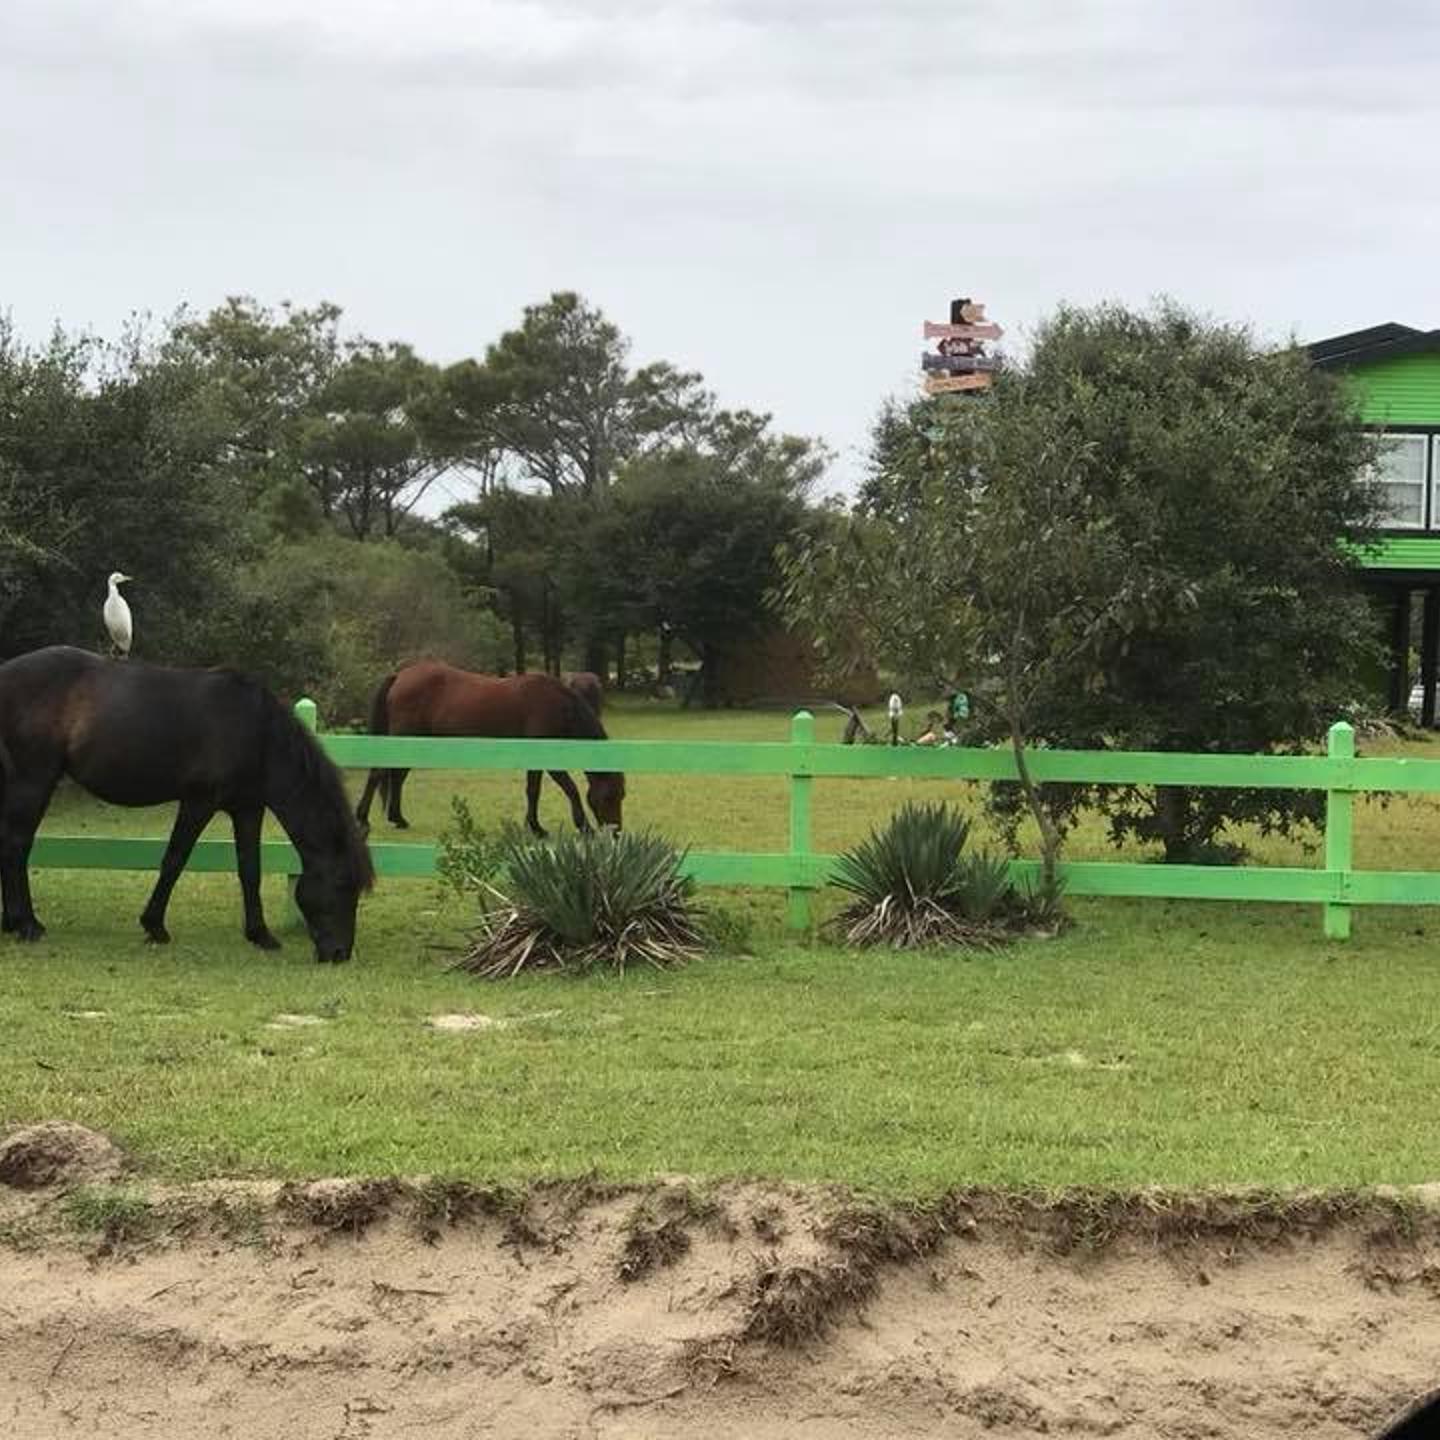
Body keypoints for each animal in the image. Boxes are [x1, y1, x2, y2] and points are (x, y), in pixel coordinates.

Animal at [0, 646, 373, 962]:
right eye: (343, 885)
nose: (339, 953)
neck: (257, 734)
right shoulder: (198, 802)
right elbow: (175, 860)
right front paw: (154, 926)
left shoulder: (247, 808)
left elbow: (250, 869)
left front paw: (260, 934)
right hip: (35, 780)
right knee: (17, 846)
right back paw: (27, 924)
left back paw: (11, 922)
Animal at [354, 662, 625, 837]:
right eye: (610, 796)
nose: (616, 832)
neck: (558, 705)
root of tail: (400, 676)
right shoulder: (547, 758)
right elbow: (571, 789)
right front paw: (584, 827)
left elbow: (533, 791)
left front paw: (534, 827)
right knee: (379, 773)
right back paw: (363, 819)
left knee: (397, 776)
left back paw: (398, 818)